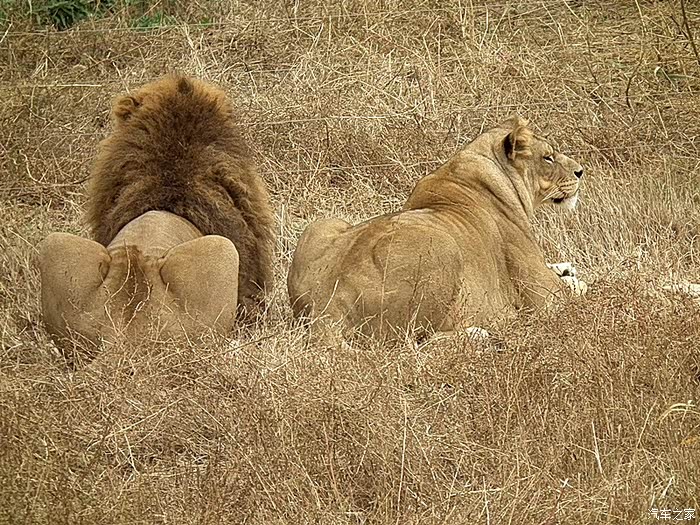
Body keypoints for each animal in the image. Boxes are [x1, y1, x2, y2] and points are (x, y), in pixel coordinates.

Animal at [287, 116, 587, 342]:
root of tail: (326, 304)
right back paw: (476, 336)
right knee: (413, 343)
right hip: (443, 248)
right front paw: (576, 281)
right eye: (548, 157)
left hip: (323, 224)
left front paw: (566, 269)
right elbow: (578, 290)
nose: (580, 171)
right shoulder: (542, 293)